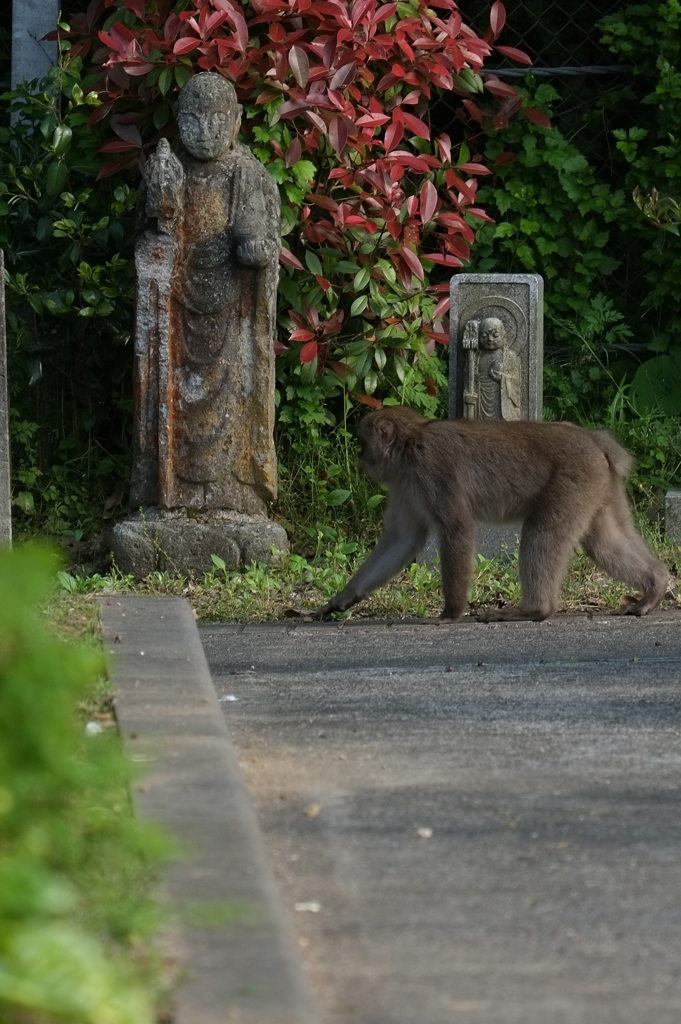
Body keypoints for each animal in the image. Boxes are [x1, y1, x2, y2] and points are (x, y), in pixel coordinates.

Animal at [313, 407, 667, 622]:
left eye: (363, 441)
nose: (362, 458)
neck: (410, 446)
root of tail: (592, 438)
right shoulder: (404, 485)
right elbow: (402, 539)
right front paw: (343, 599)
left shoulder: (431, 470)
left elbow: (458, 529)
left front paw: (451, 612)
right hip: (597, 486)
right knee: (604, 542)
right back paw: (655, 586)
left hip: (574, 480)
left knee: (542, 533)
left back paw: (534, 610)